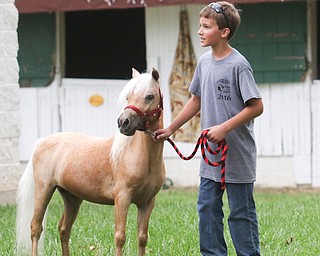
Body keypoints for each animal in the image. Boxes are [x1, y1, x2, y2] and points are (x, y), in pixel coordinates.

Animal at [15, 68, 164, 256]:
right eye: (128, 97)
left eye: (150, 96)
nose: (124, 122)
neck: (142, 157)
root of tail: (43, 141)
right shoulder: (122, 199)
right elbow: (120, 237)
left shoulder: (147, 202)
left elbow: (142, 238)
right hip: (43, 190)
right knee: (36, 228)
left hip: (72, 198)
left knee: (64, 229)